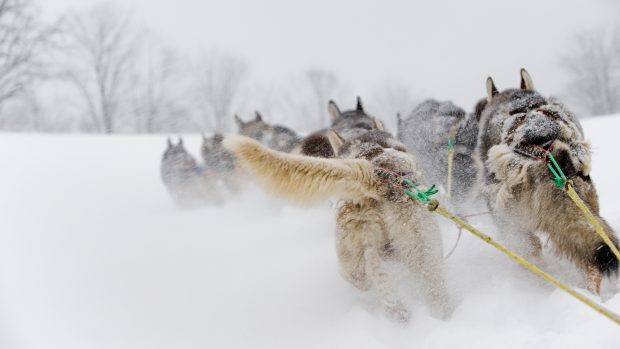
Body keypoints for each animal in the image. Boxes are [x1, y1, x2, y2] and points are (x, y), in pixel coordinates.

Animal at [474, 68, 616, 294]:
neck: (519, 103)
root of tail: (546, 149)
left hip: (516, 225)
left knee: (533, 256)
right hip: (586, 213)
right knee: (591, 265)